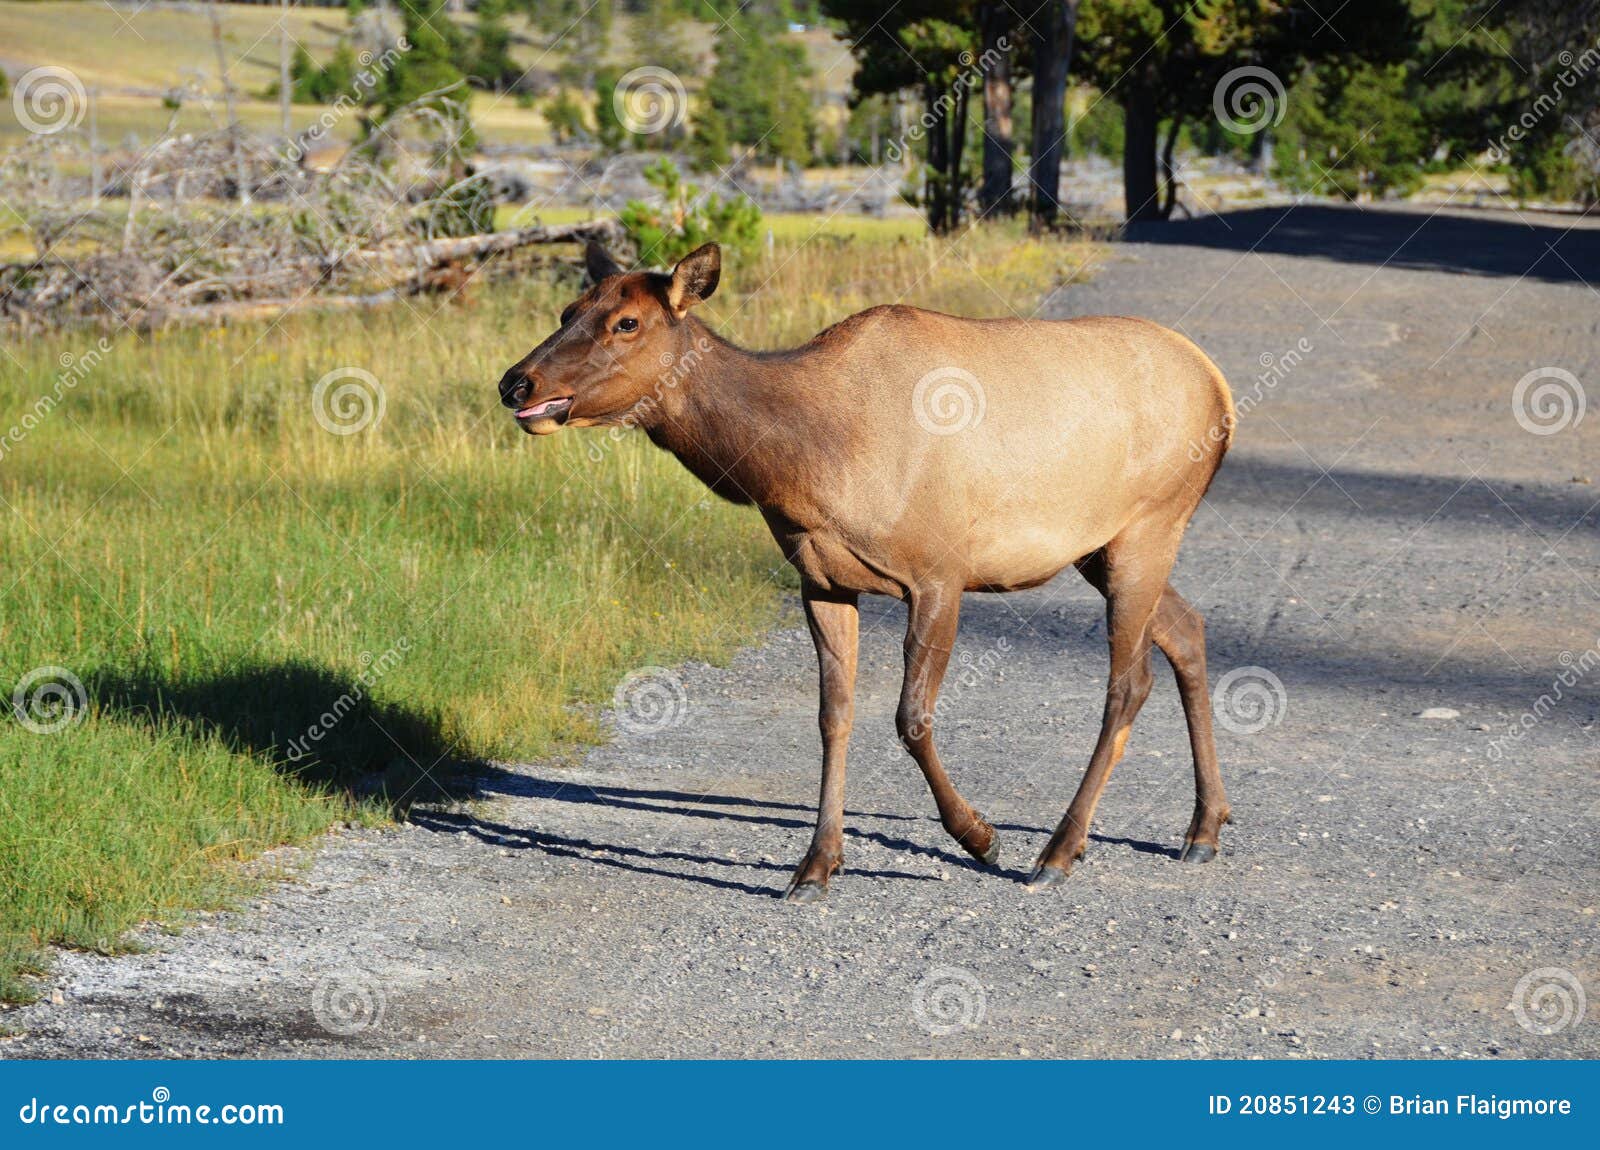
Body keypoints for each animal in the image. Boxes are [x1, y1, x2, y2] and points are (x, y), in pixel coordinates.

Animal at [497, 241, 1235, 902]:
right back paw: (1205, 826)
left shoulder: (940, 573)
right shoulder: (822, 580)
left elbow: (911, 717)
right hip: (1099, 548)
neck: (804, 465)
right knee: (1188, 630)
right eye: (568, 308)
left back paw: (1058, 850)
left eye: (627, 322)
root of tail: (1220, 388)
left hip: (1149, 526)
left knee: (1129, 682)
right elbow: (834, 714)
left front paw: (979, 836)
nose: (516, 381)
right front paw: (817, 865)